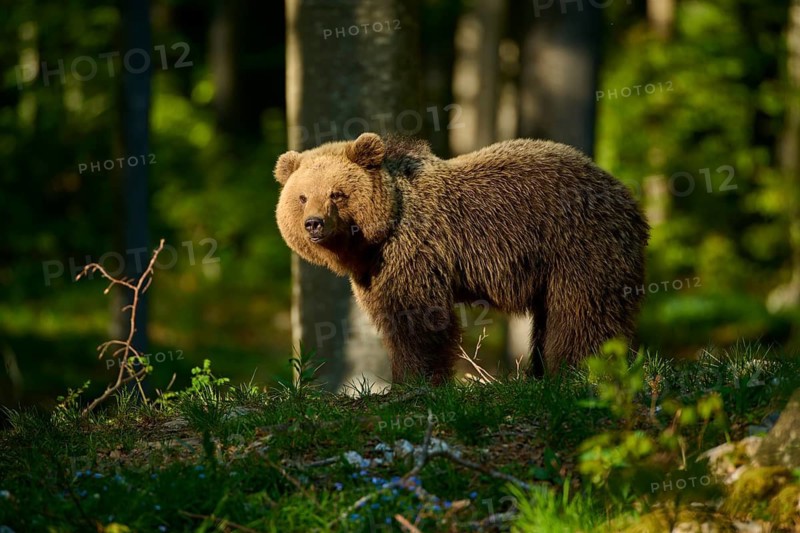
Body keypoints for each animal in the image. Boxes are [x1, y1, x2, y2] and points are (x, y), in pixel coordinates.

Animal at [274, 132, 649, 383]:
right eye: (302, 196)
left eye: (337, 193)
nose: (314, 223)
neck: (375, 239)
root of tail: (626, 196)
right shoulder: (372, 273)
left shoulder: (413, 252)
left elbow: (419, 321)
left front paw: (415, 381)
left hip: (579, 246)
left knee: (582, 313)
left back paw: (577, 371)